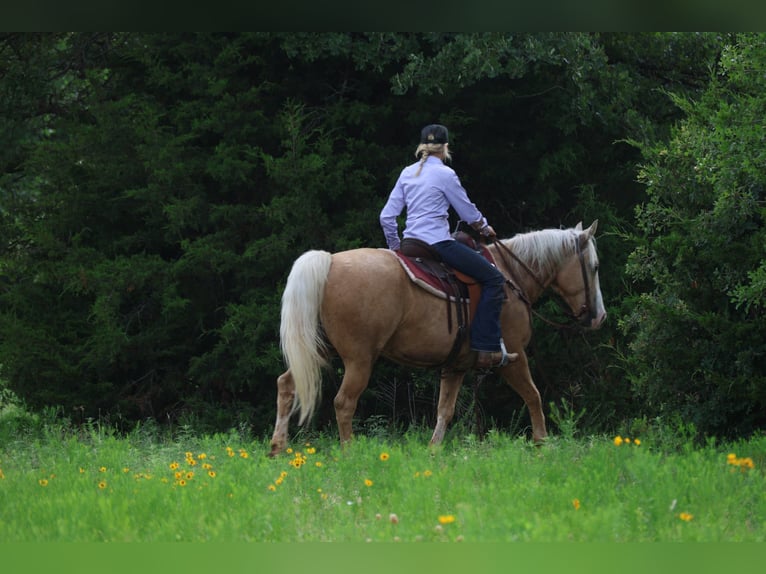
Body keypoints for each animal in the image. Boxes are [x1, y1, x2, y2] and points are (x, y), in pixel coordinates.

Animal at [268, 221, 606, 456]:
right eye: (594, 267)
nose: (599, 317)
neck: (512, 276)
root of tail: (331, 262)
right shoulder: (514, 357)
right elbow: (534, 396)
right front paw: (541, 444)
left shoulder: (455, 366)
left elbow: (445, 410)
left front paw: (433, 452)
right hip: (359, 359)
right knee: (344, 402)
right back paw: (348, 454)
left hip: (320, 350)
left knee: (286, 384)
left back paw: (277, 448)